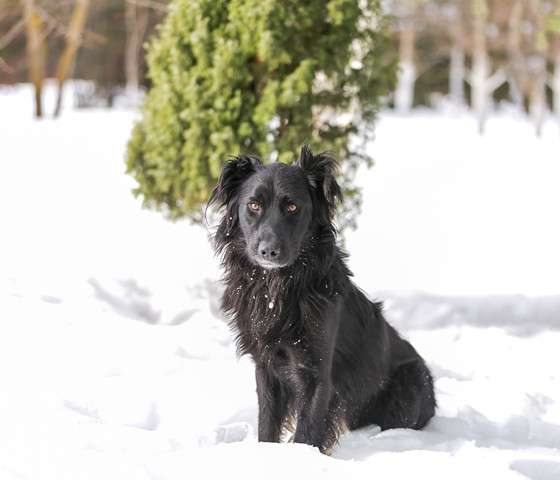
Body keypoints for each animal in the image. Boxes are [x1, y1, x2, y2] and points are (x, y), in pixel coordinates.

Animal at [210, 146, 438, 454]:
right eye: (254, 206)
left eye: (292, 207)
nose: (268, 251)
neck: (277, 287)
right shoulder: (266, 367)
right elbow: (267, 425)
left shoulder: (317, 374)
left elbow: (307, 432)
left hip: (410, 388)